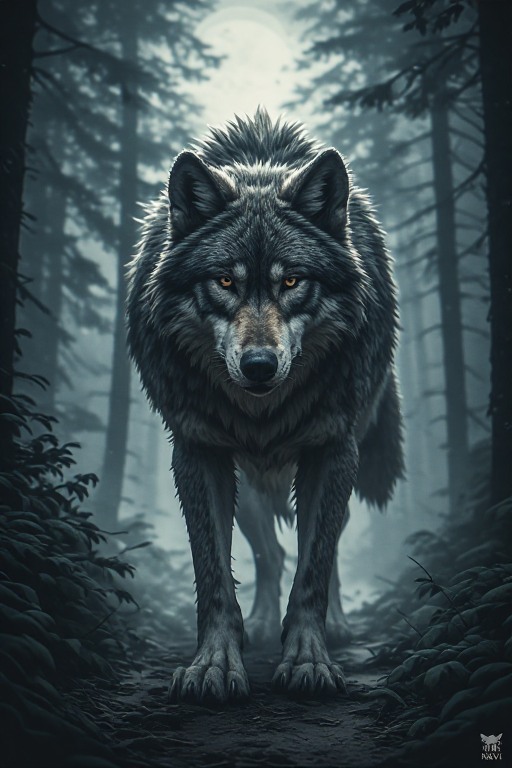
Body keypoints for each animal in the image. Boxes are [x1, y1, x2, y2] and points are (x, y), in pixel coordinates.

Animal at [127, 108, 404, 703]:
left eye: (292, 281)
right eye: (224, 281)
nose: (258, 366)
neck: (263, 412)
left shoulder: (332, 450)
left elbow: (314, 571)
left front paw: (309, 660)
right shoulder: (198, 451)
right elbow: (213, 577)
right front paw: (214, 665)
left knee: (321, 551)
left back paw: (337, 626)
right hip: (249, 486)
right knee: (269, 555)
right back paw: (256, 624)